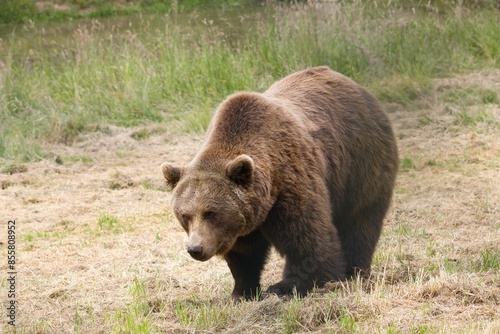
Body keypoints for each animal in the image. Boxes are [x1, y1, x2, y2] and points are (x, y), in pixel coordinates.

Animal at [162, 66, 396, 300]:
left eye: (210, 212)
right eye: (185, 215)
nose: (195, 249)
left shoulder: (291, 183)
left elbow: (306, 237)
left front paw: (289, 285)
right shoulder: (243, 221)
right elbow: (245, 254)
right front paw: (242, 291)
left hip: (361, 164)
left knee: (360, 222)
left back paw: (356, 272)